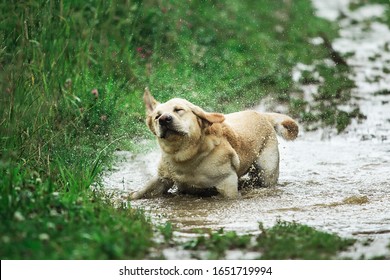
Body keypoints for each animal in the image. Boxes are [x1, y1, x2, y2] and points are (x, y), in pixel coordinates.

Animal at [131, 88, 298, 199]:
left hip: (267, 172)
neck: (185, 156)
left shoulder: (227, 183)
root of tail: (262, 114)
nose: (164, 119)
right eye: (156, 116)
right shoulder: (162, 179)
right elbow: (142, 192)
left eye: (178, 110)